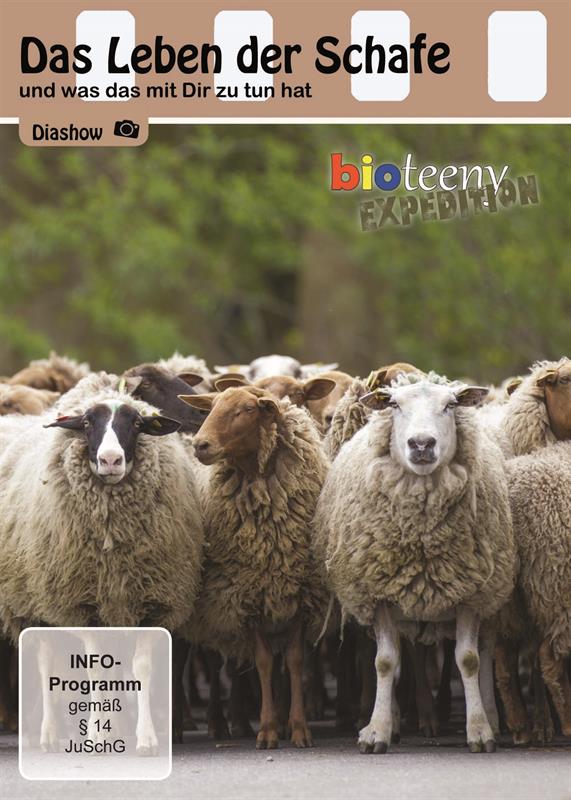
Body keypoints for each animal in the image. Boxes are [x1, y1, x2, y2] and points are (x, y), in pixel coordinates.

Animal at [0, 374, 204, 753]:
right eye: (85, 423)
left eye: (136, 424)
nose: (110, 460)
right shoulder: (84, 604)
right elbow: (94, 670)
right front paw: (97, 732)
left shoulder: (149, 602)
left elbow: (140, 668)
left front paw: (144, 737)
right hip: (37, 605)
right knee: (45, 663)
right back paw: (49, 733)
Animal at [178, 385, 330, 749]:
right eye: (211, 406)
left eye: (247, 409)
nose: (201, 444)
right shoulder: (247, 597)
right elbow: (262, 662)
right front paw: (267, 729)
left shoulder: (299, 596)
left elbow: (293, 660)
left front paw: (298, 728)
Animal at [314, 373, 516, 754]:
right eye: (395, 405)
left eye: (450, 405)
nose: (421, 444)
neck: (422, 536)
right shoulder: (379, 594)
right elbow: (384, 662)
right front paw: (377, 731)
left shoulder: (470, 593)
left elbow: (469, 660)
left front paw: (479, 729)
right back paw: (394, 720)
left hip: (491, 594)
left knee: (485, 651)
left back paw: (493, 718)